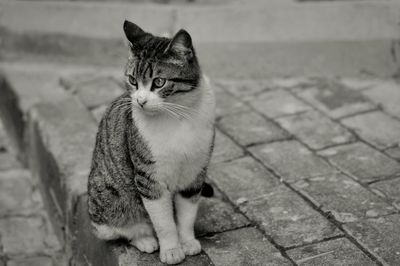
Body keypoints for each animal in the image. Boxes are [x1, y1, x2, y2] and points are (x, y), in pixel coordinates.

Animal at [87, 19, 216, 264]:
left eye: (159, 82)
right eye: (132, 80)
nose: (140, 100)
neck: (177, 117)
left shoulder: (195, 173)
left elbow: (186, 215)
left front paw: (187, 242)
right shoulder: (149, 179)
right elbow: (164, 223)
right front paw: (172, 250)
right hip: (109, 199)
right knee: (121, 229)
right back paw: (145, 239)